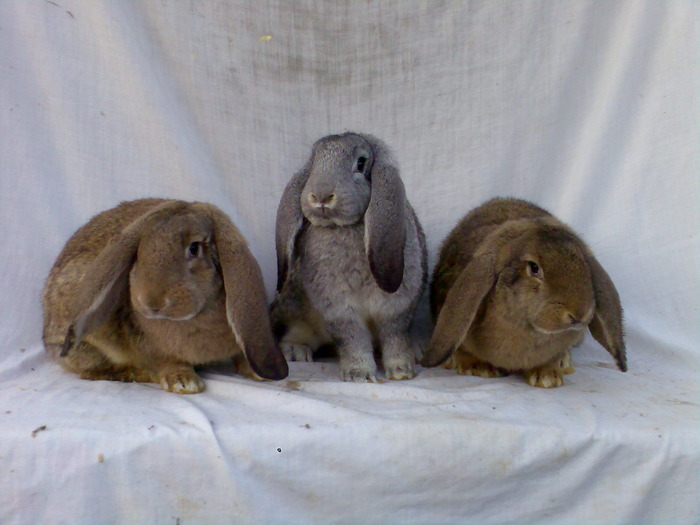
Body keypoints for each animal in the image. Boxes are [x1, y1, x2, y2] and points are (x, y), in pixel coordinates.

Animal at [41, 198, 288, 392]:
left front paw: (258, 373)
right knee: (93, 371)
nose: (151, 302)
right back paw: (137, 374)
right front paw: (183, 382)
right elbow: (168, 361)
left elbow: (243, 351)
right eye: (138, 252)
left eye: (194, 248)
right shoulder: (154, 348)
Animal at [272, 132, 426, 380]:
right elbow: (353, 339)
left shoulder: (397, 306)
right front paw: (359, 374)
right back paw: (295, 351)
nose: (321, 196)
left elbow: (395, 337)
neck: (342, 227)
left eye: (361, 163)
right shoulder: (338, 307)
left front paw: (401, 371)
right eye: (313, 164)